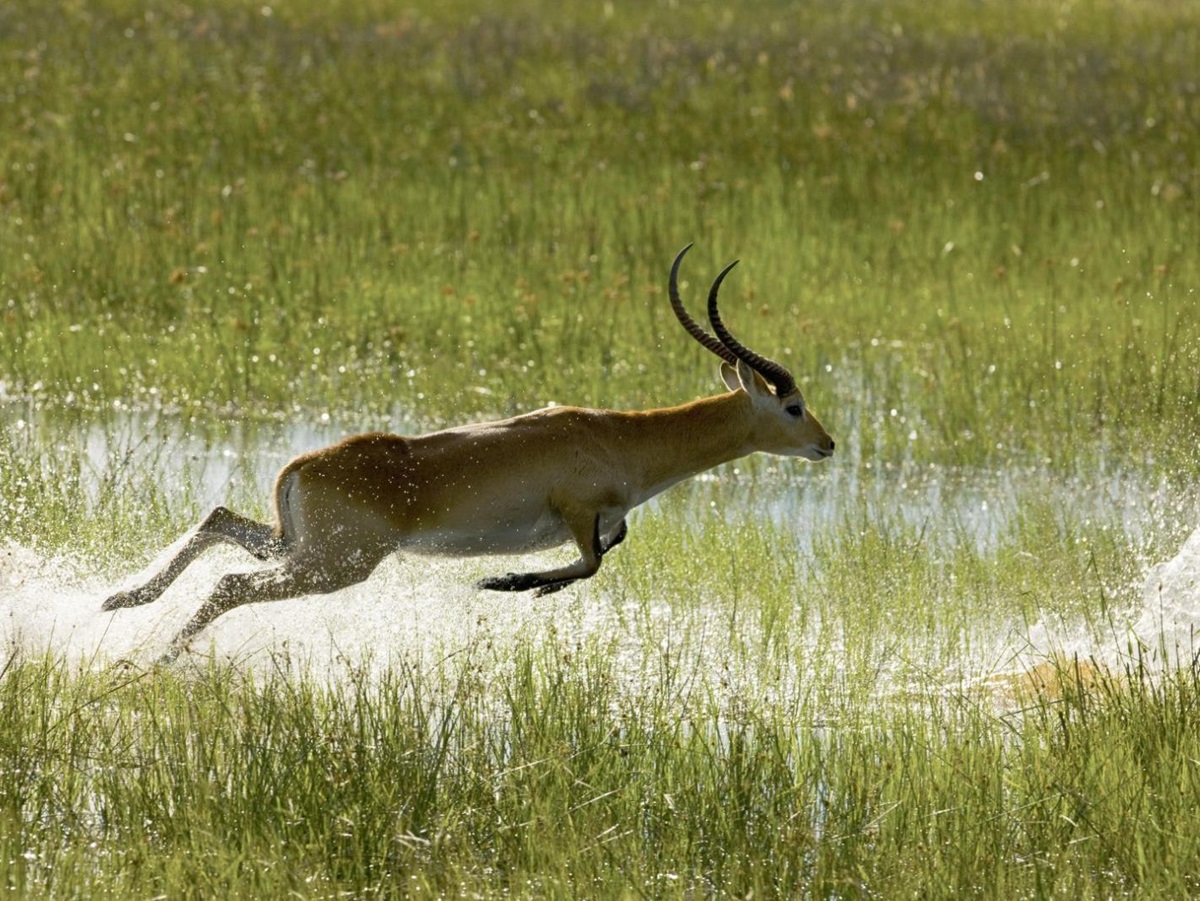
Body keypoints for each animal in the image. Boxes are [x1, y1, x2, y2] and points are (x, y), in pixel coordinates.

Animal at [102, 245, 835, 664]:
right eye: (792, 407)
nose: (827, 444)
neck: (620, 438)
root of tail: (303, 465)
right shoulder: (576, 510)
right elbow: (593, 561)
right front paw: (507, 582)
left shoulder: (603, 518)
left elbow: (606, 550)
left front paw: (523, 584)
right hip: (335, 565)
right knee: (230, 583)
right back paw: (155, 656)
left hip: (296, 546)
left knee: (219, 519)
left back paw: (120, 601)